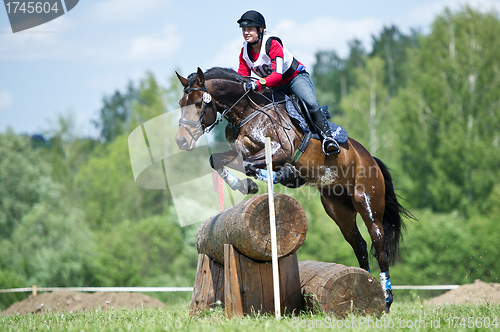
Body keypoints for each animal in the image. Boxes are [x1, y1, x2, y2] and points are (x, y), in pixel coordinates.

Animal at [174, 67, 412, 312]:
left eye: (199, 104)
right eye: (181, 103)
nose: (181, 141)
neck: (247, 111)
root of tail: (370, 158)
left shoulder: (281, 150)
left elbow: (251, 165)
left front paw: (282, 175)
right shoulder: (241, 152)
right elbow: (218, 160)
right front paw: (246, 185)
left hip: (368, 201)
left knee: (379, 245)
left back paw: (386, 298)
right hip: (339, 210)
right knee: (360, 245)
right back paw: (367, 283)